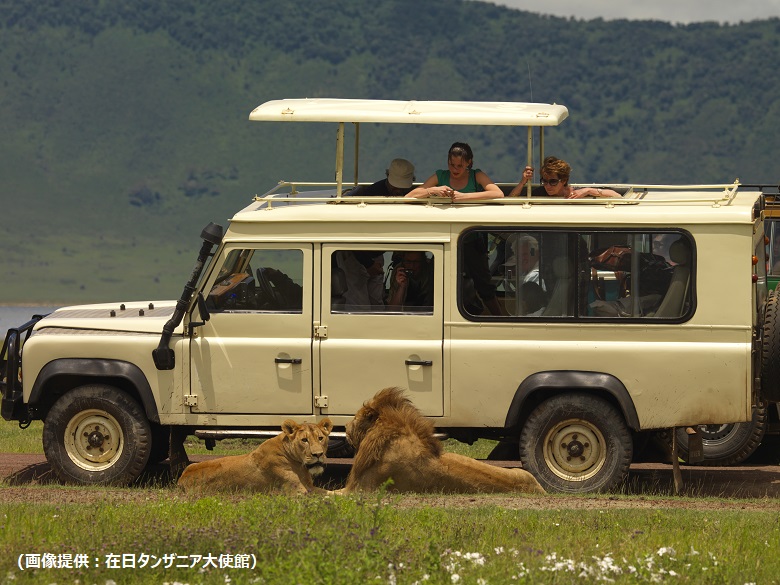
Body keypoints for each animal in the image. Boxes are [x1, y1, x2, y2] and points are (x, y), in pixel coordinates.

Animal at [177, 418, 332, 496]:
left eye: (320, 438)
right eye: (304, 440)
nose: (318, 454)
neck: (299, 464)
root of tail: (181, 478)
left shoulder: (310, 487)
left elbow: (333, 493)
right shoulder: (299, 492)